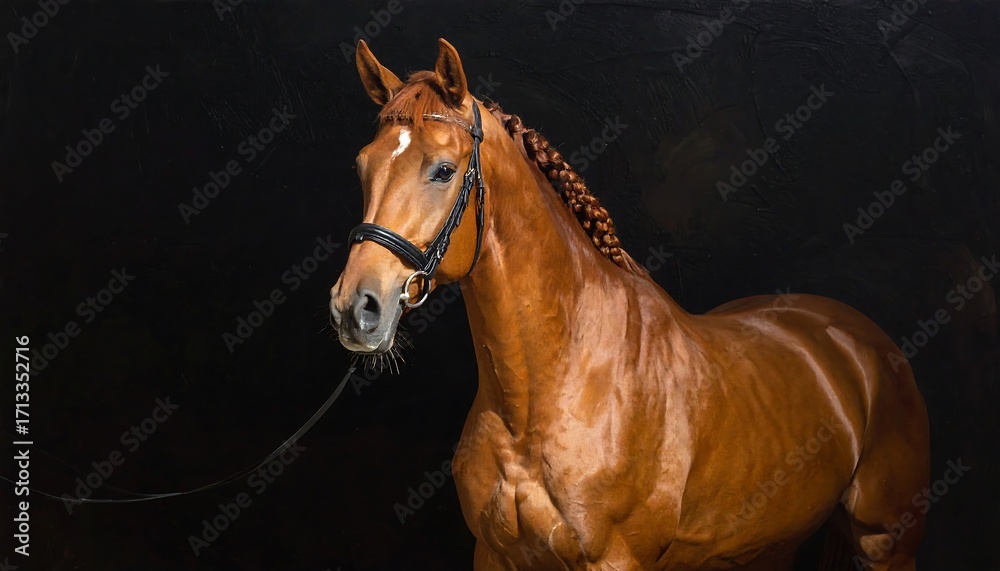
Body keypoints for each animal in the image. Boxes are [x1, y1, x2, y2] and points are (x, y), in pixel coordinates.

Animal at [329, 38, 930, 571]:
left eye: (443, 170)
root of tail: (858, 338)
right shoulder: (496, 555)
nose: (355, 308)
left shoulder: (615, 560)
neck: (544, 394)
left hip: (888, 544)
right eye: (361, 166)